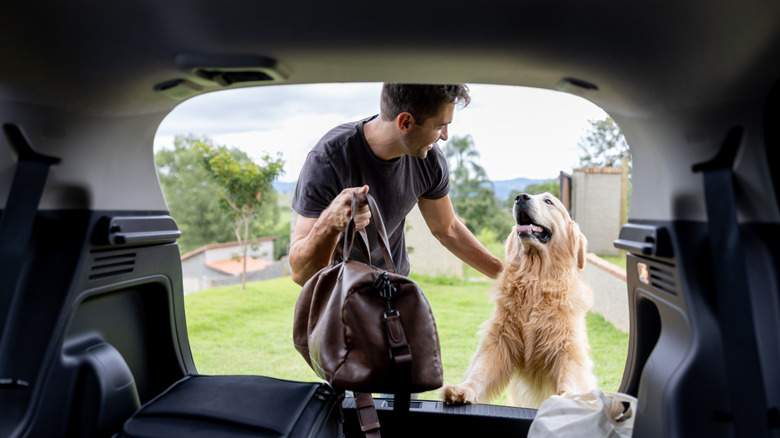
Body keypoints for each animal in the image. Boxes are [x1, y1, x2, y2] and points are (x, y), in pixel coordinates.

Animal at [438, 193, 596, 408]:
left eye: (549, 201)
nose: (521, 197)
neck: (535, 279)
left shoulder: (568, 344)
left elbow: (570, 375)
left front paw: (565, 399)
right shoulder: (500, 338)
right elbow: (481, 370)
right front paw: (463, 389)